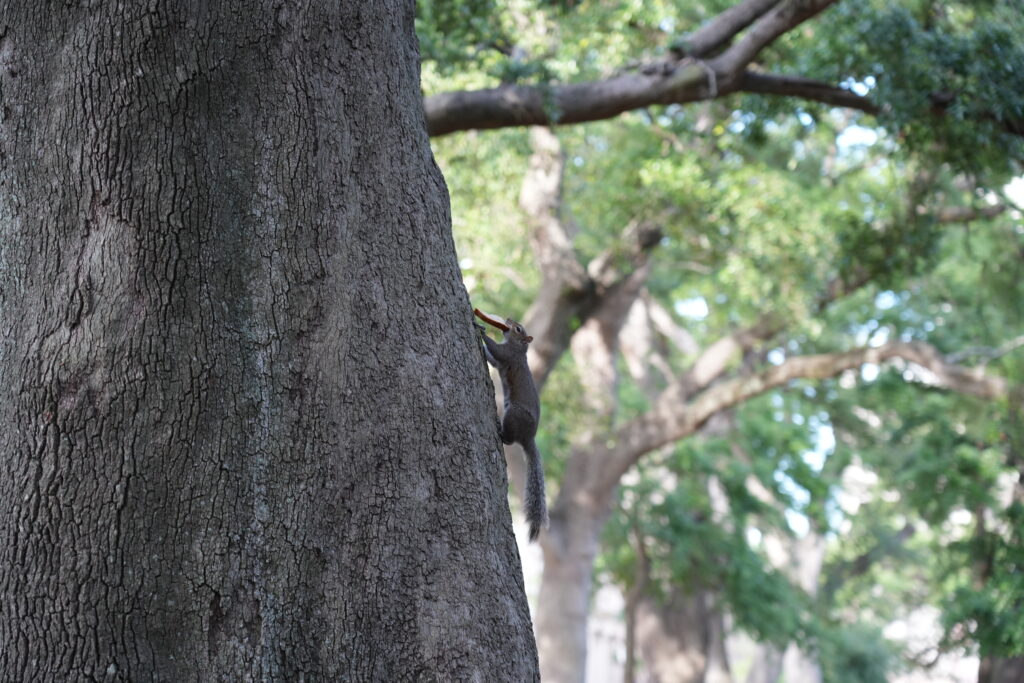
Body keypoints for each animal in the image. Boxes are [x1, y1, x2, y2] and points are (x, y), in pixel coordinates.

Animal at [474, 309, 549, 541]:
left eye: (518, 329)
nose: (507, 319)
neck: (519, 348)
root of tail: (528, 437)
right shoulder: (502, 361)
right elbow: (492, 359)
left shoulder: (508, 355)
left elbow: (497, 350)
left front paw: (480, 329)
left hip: (513, 414)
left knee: (508, 440)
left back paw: (500, 431)